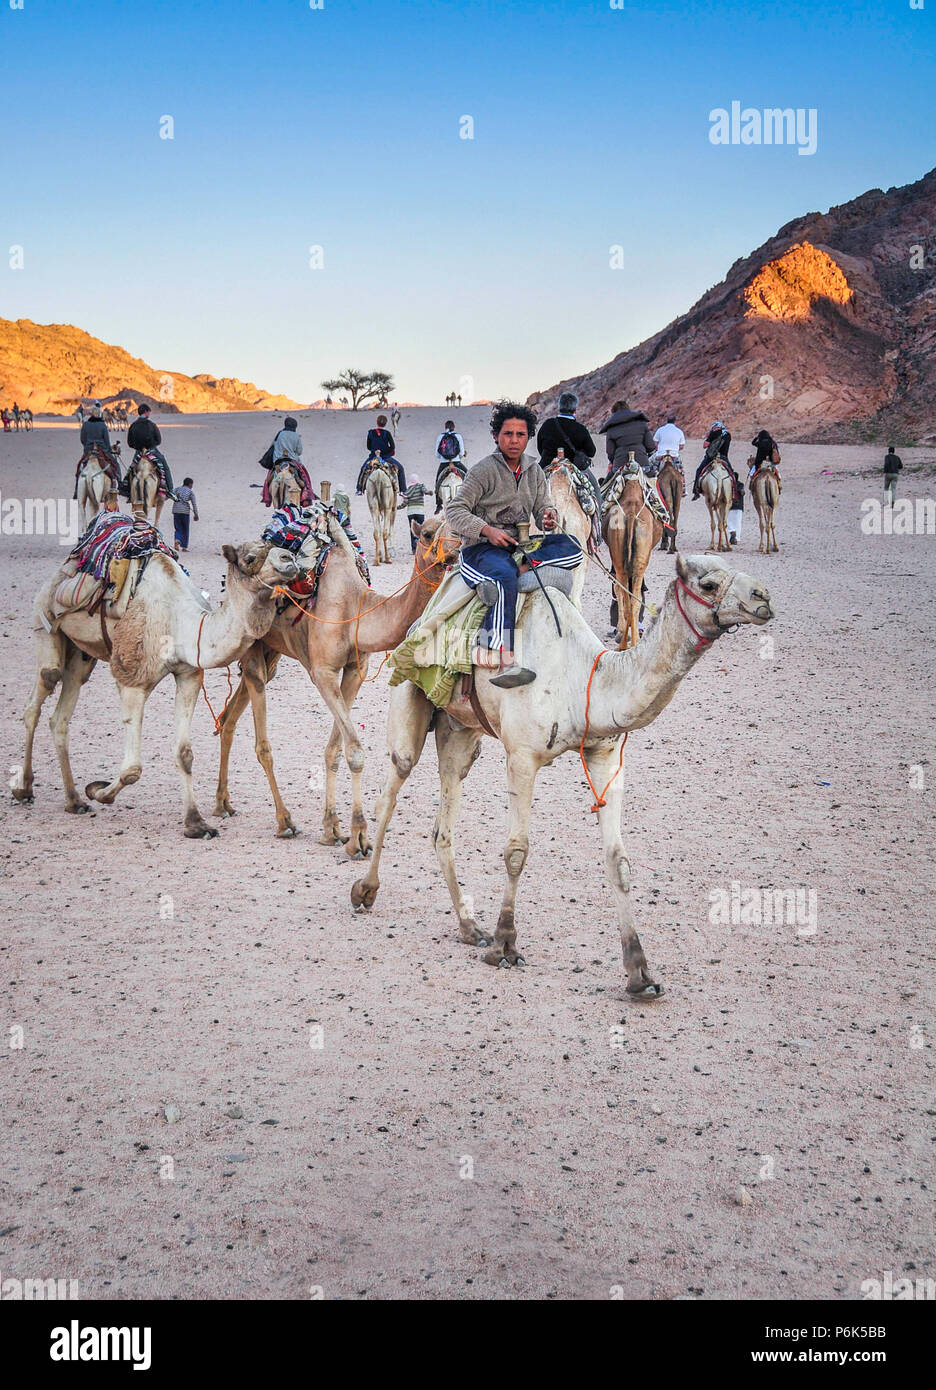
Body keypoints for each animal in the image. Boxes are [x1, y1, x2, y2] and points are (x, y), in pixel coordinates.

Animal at [12, 536, 301, 828]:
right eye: (250, 557)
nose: (290, 558)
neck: (182, 623)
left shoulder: (188, 674)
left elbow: (184, 754)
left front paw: (196, 823)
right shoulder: (133, 679)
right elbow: (132, 768)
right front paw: (97, 791)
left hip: (82, 653)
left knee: (61, 714)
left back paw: (74, 800)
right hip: (44, 616)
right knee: (41, 691)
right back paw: (24, 788)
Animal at [212, 517, 458, 850]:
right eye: (429, 533)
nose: (457, 545)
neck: (356, 608)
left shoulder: (355, 669)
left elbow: (335, 750)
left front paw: (332, 828)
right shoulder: (323, 671)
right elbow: (354, 751)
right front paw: (359, 836)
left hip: (271, 651)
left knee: (229, 718)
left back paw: (222, 803)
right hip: (251, 644)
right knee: (260, 737)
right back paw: (284, 821)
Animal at [350, 547, 773, 995]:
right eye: (707, 584)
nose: (763, 597)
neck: (584, 680)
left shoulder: (606, 755)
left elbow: (618, 862)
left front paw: (640, 973)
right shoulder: (521, 756)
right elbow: (516, 852)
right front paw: (505, 946)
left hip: (459, 729)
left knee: (443, 820)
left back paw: (469, 927)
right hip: (408, 695)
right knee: (392, 788)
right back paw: (365, 890)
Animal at [603, 464, 662, 642]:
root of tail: (630, 515)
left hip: (622, 559)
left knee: (626, 594)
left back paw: (627, 637)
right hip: (638, 560)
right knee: (631, 596)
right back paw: (631, 638)